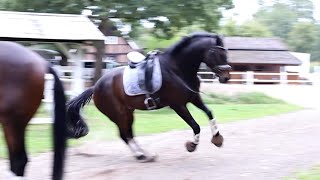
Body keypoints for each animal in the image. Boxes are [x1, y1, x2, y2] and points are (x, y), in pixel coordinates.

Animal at [67, 32, 230, 162]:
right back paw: (140, 155)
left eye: (226, 53)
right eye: (216, 53)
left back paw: (145, 154)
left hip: (128, 113)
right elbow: (195, 126)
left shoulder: (194, 99)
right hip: (118, 114)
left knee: (129, 133)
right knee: (124, 135)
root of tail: (95, 87)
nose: (226, 77)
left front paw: (217, 138)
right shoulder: (178, 105)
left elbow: (210, 113)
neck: (177, 69)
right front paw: (192, 145)